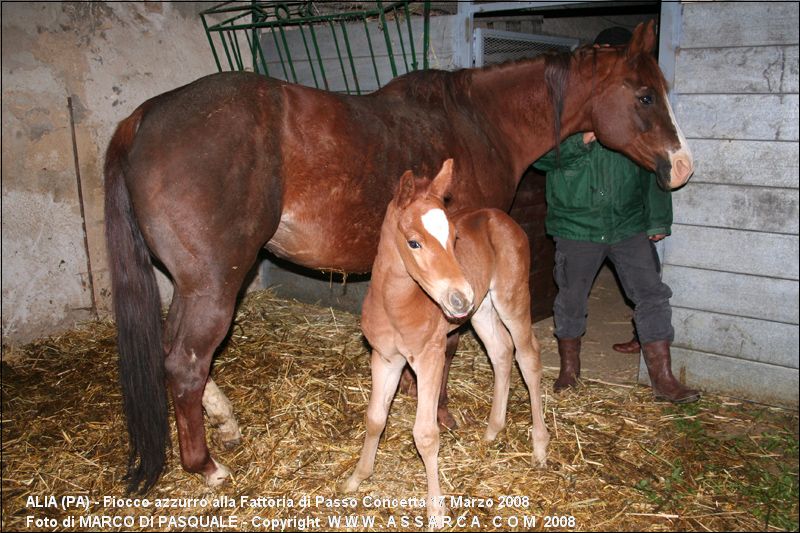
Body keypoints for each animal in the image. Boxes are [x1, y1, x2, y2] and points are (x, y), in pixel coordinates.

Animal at [338, 158, 552, 524]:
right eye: (413, 242)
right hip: (481, 310)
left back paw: (539, 445)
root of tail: (502, 217)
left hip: (511, 298)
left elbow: (425, 434)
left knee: (528, 356)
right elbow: (375, 418)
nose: (460, 297)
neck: (396, 303)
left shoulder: (430, 357)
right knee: (501, 352)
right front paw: (356, 478)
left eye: (454, 238)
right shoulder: (385, 357)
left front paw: (436, 511)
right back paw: (492, 430)